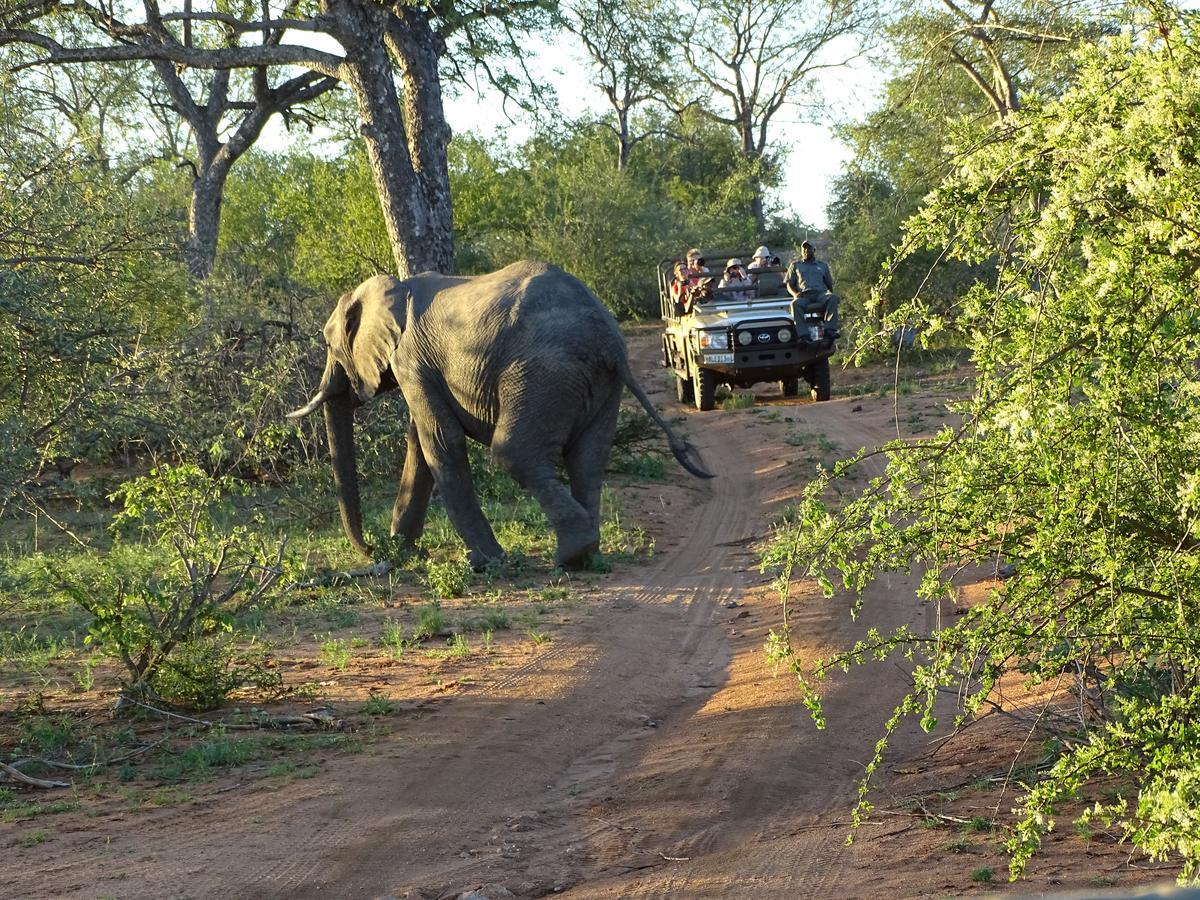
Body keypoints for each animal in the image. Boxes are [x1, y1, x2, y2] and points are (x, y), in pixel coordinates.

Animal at [284, 262, 705, 571]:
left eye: (327, 344)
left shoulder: (411, 362)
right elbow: (420, 443)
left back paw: (569, 555)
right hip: (598, 383)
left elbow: (440, 441)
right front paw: (404, 553)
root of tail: (610, 341)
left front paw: (486, 561)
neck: (392, 288)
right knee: (589, 458)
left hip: (542, 372)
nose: (371, 551)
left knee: (513, 454)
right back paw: (587, 556)